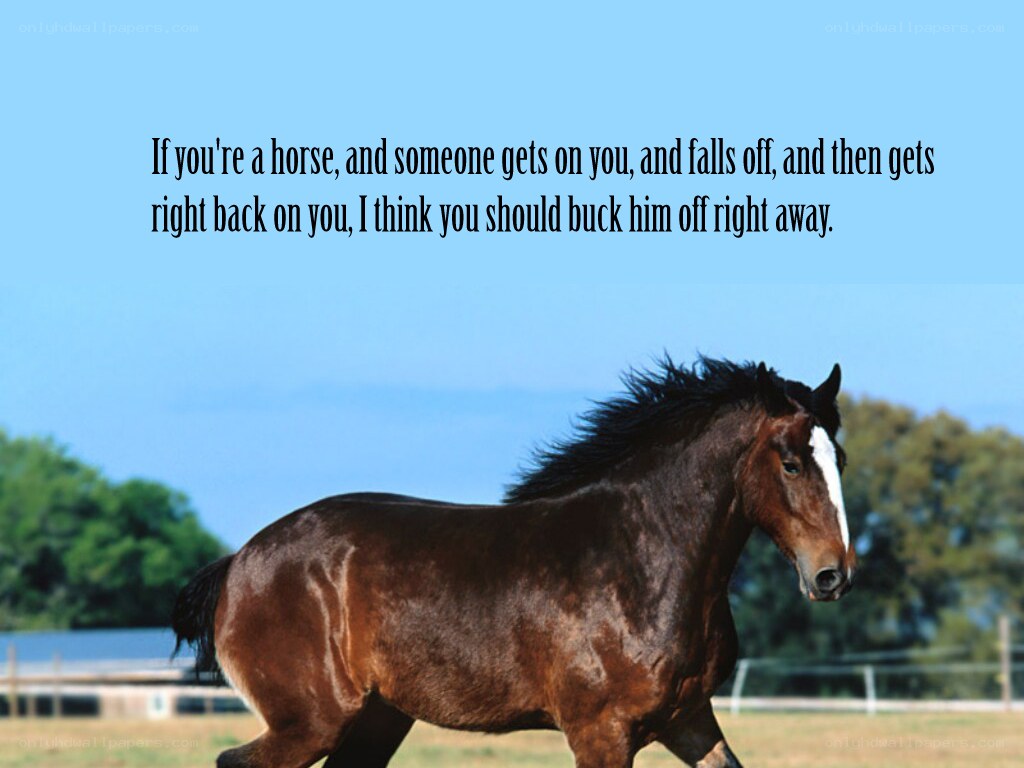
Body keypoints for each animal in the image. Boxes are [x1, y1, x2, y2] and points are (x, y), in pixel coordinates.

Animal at [173, 357, 854, 768]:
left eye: (839, 458)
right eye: (791, 462)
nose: (833, 575)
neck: (644, 563)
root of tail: (237, 564)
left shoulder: (689, 718)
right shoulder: (601, 732)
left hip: (375, 720)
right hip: (310, 722)